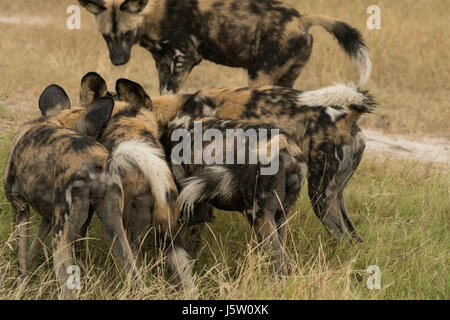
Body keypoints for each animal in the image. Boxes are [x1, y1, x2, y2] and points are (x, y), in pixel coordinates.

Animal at [3, 84, 137, 298]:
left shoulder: (21, 208)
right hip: (115, 231)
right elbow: (33, 248)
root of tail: (96, 162)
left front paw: (19, 289)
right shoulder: (48, 217)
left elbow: (21, 260)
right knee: (135, 276)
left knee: (68, 291)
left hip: (61, 238)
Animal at [78, 0, 372, 94]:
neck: (156, 12)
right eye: (106, 36)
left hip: (260, 76)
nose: (118, 61)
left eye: (127, 33)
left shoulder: (188, 57)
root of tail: (301, 19)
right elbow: (161, 92)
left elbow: (170, 91)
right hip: (286, 77)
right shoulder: (162, 59)